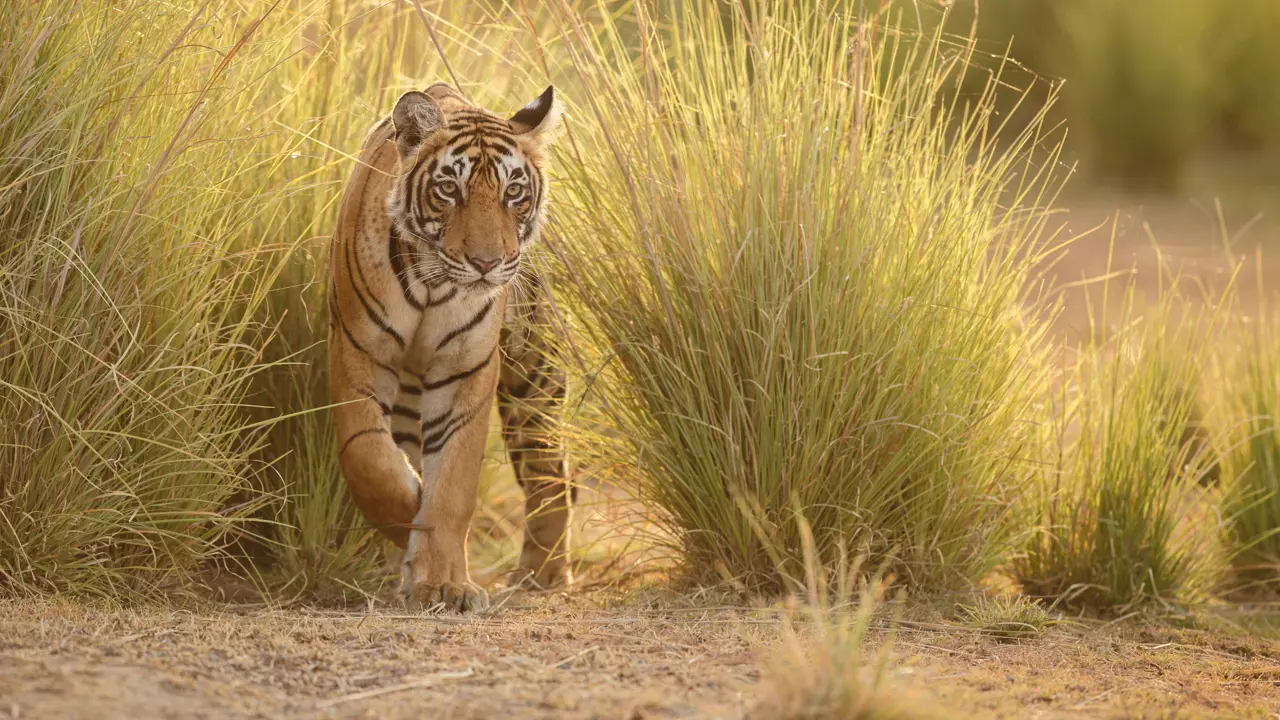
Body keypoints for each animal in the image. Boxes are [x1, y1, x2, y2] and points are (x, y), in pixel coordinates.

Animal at [327, 83, 573, 609]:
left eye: (513, 192)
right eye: (449, 190)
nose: (487, 263)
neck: (432, 284)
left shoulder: (465, 368)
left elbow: (454, 482)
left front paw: (443, 583)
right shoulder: (359, 350)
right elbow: (370, 459)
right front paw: (410, 520)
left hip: (535, 378)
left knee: (551, 474)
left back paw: (540, 574)